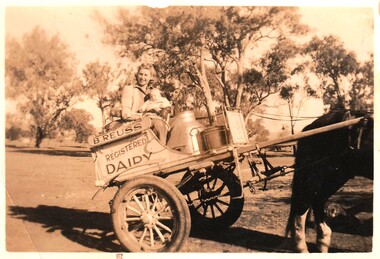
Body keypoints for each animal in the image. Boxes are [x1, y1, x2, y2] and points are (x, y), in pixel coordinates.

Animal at [286, 110, 372, 254]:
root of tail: (311, 127)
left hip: (336, 175)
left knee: (317, 200)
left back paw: (323, 242)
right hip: (319, 173)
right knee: (304, 204)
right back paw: (301, 246)